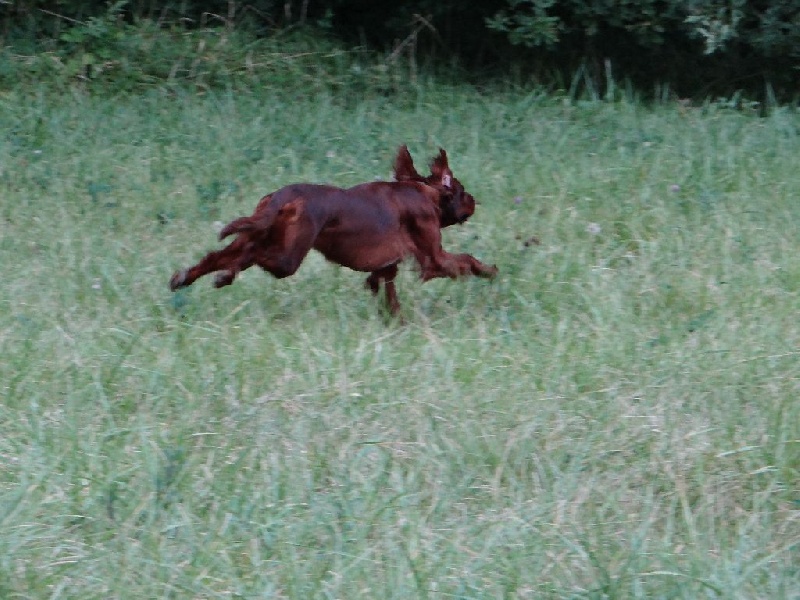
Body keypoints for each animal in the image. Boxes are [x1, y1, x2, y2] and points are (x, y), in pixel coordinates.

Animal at [169, 146, 494, 314]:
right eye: (464, 192)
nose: (475, 201)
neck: (424, 192)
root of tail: (282, 198)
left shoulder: (388, 266)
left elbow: (386, 290)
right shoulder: (433, 257)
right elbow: (466, 260)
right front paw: (490, 270)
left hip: (261, 235)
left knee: (218, 256)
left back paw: (184, 278)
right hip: (288, 256)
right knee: (251, 256)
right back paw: (225, 276)